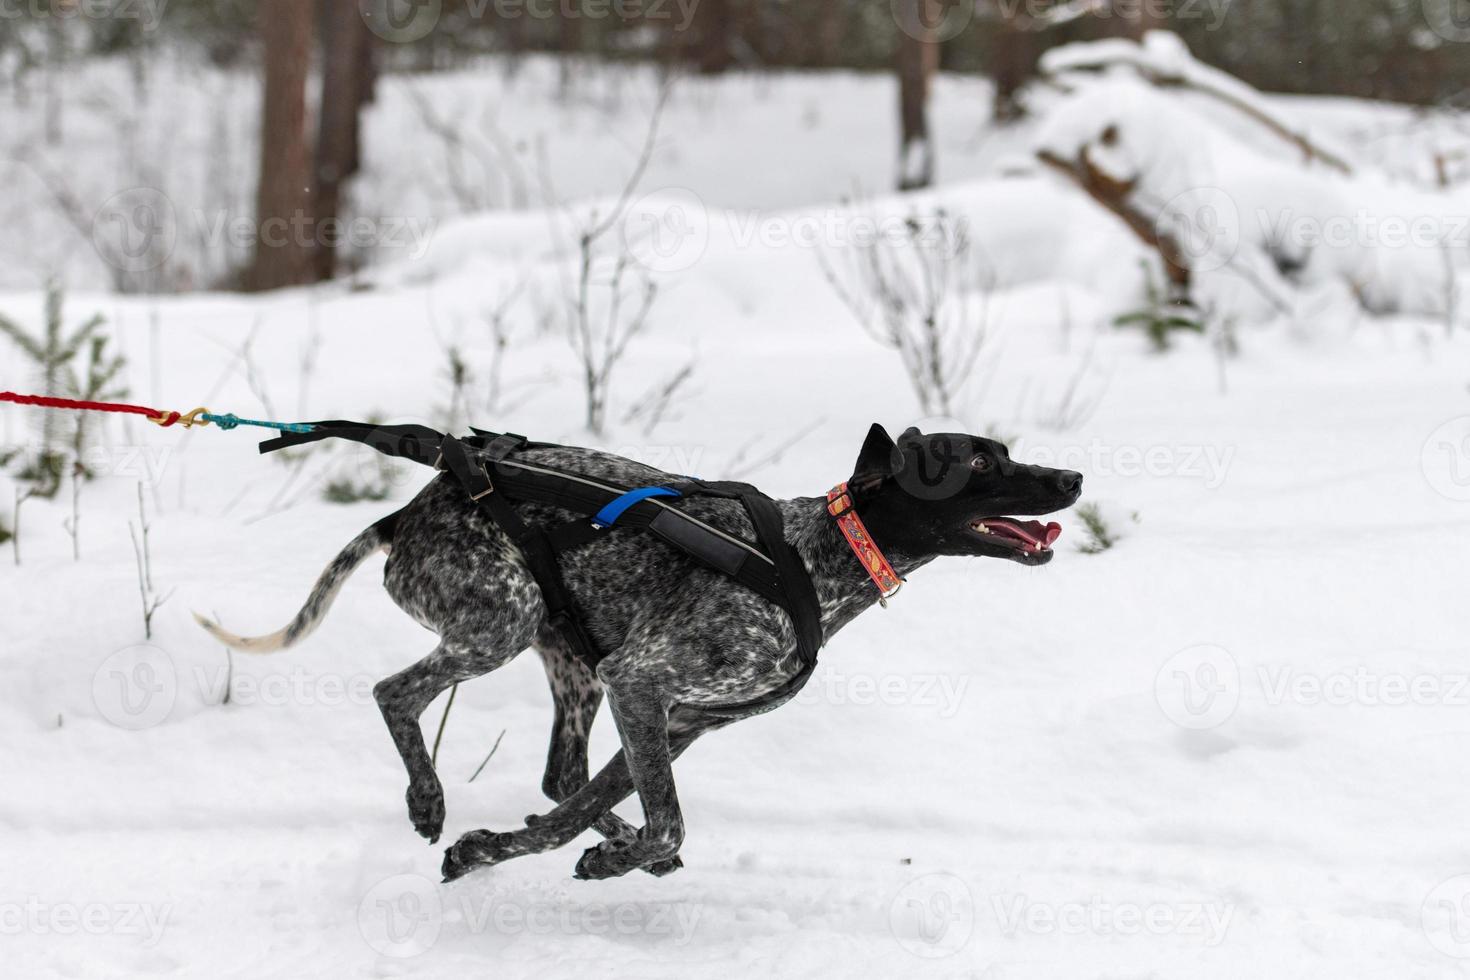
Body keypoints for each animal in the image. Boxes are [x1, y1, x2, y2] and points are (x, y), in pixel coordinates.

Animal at [198, 426, 1081, 887]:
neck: (814, 559)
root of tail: (407, 513)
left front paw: (508, 850)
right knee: (394, 693)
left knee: (560, 775)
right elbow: (667, 822)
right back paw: (427, 797)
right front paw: (607, 854)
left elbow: (581, 812)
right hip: (504, 623)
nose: (1072, 475)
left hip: (572, 665)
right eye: (980, 462)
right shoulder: (643, 682)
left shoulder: (675, 718)